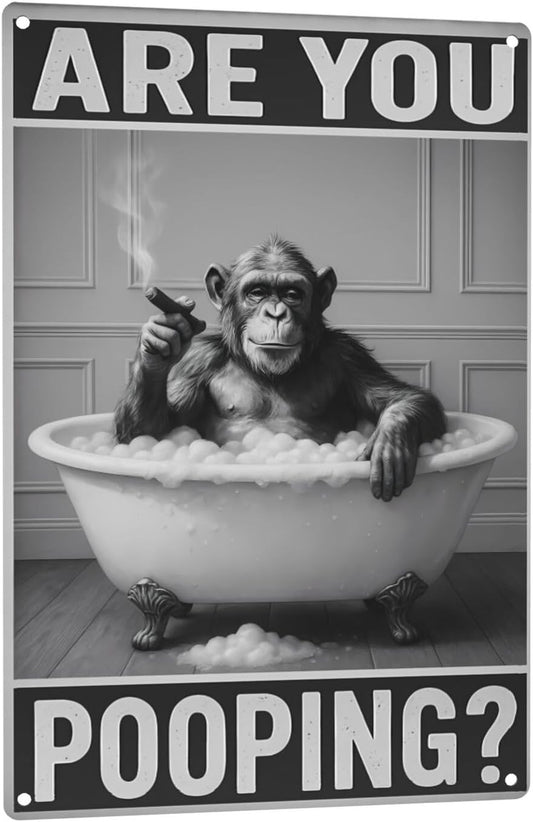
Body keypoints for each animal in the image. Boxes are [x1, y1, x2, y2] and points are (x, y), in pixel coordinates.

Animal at [115, 236, 446, 502]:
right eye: (257, 292)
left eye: (292, 294)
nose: (275, 313)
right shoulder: (197, 361)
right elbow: (149, 431)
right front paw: (158, 342)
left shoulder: (350, 356)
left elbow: (405, 397)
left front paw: (390, 441)